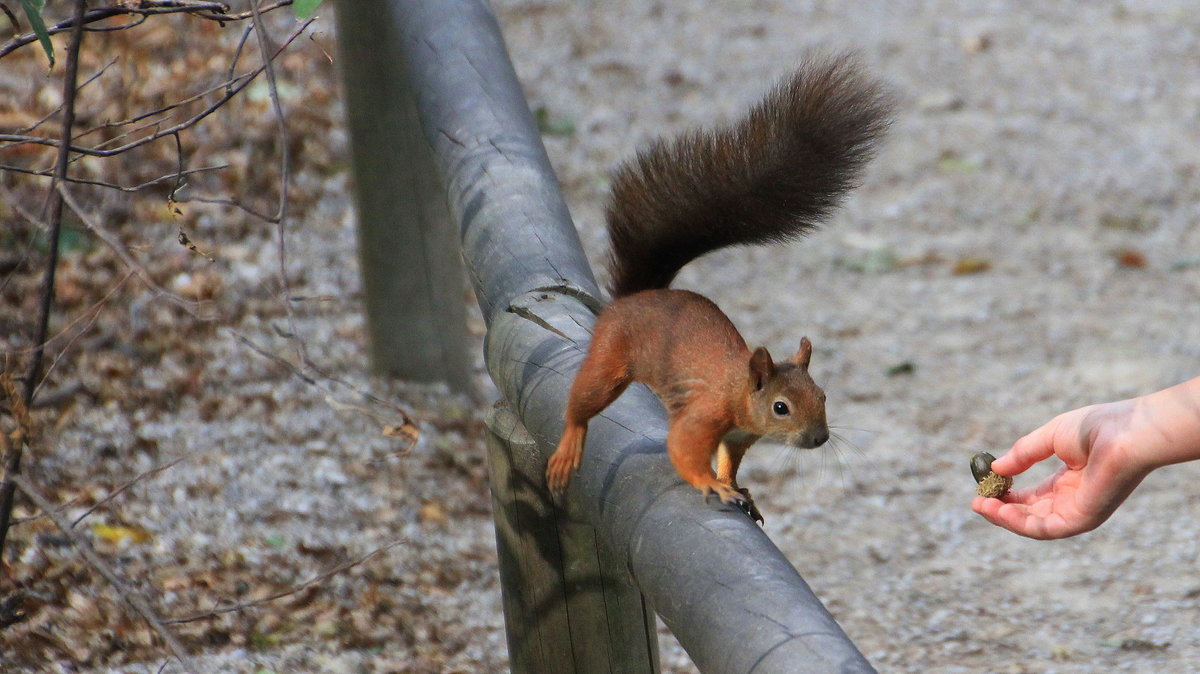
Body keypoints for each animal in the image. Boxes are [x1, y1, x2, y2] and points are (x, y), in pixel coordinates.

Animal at [544, 55, 892, 522]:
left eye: (823, 395)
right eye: (781, 407)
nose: (818, 438)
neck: (741, 392)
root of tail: (638, 297)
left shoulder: (738, 436)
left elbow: (730, 458)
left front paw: (737, 486)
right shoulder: (706, 413)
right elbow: (684, 448)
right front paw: (712, 484)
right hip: (611, 357)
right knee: (582, 402)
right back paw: (569, 444)